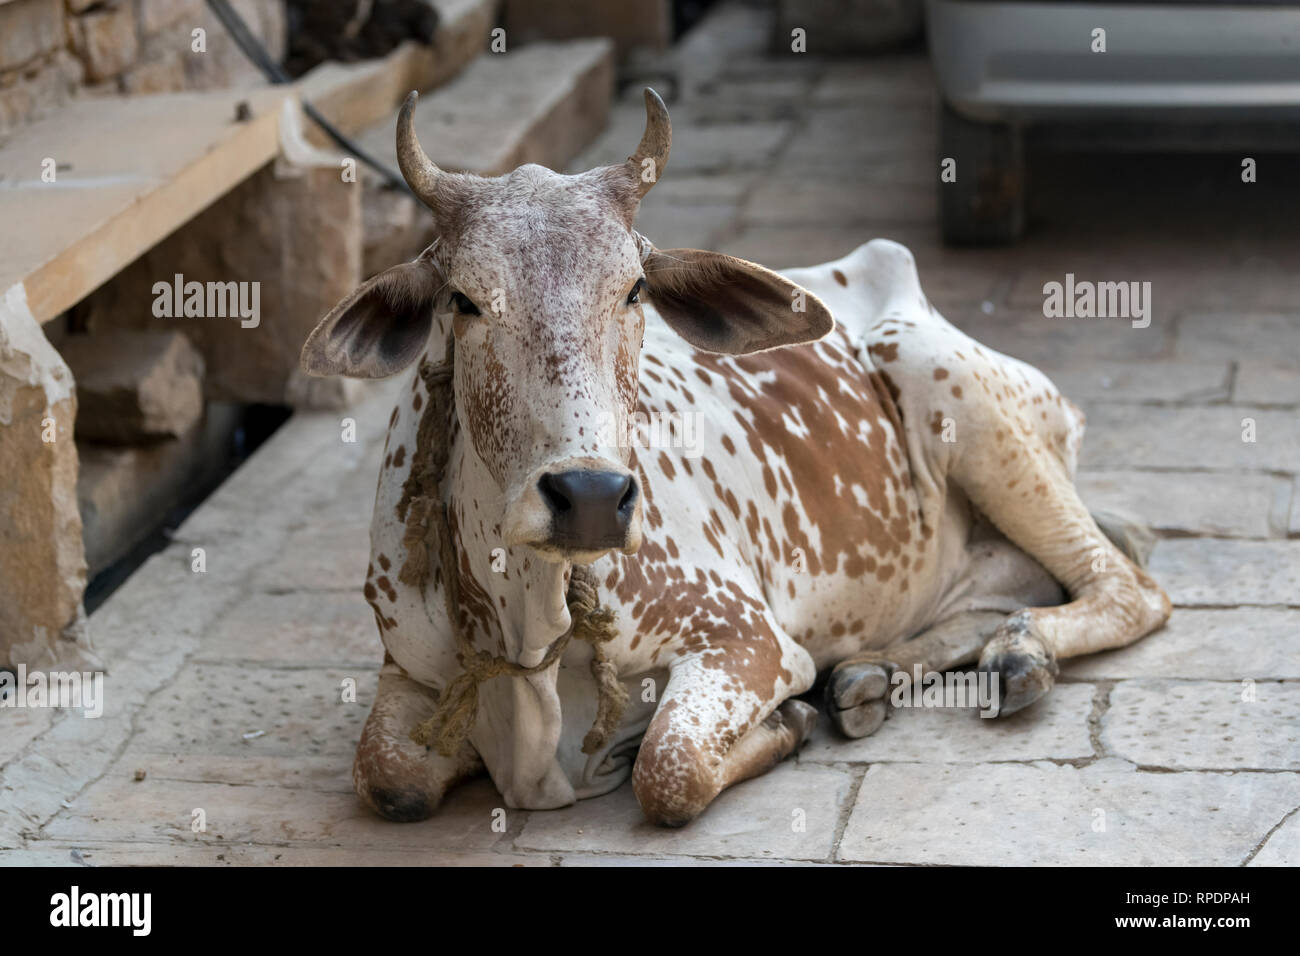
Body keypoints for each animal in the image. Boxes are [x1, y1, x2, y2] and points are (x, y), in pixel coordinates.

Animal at [301, 85, 1170, 827]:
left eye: (634, 291)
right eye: (464, 300)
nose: (589, 496)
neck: (531, 620)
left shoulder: (744, 637)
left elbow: (668, 770)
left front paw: (785, 723)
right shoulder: (407, 670)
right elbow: (390, 779)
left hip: (945, 380)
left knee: (1129, 590)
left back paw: (1016, 653)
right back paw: (874, 676)